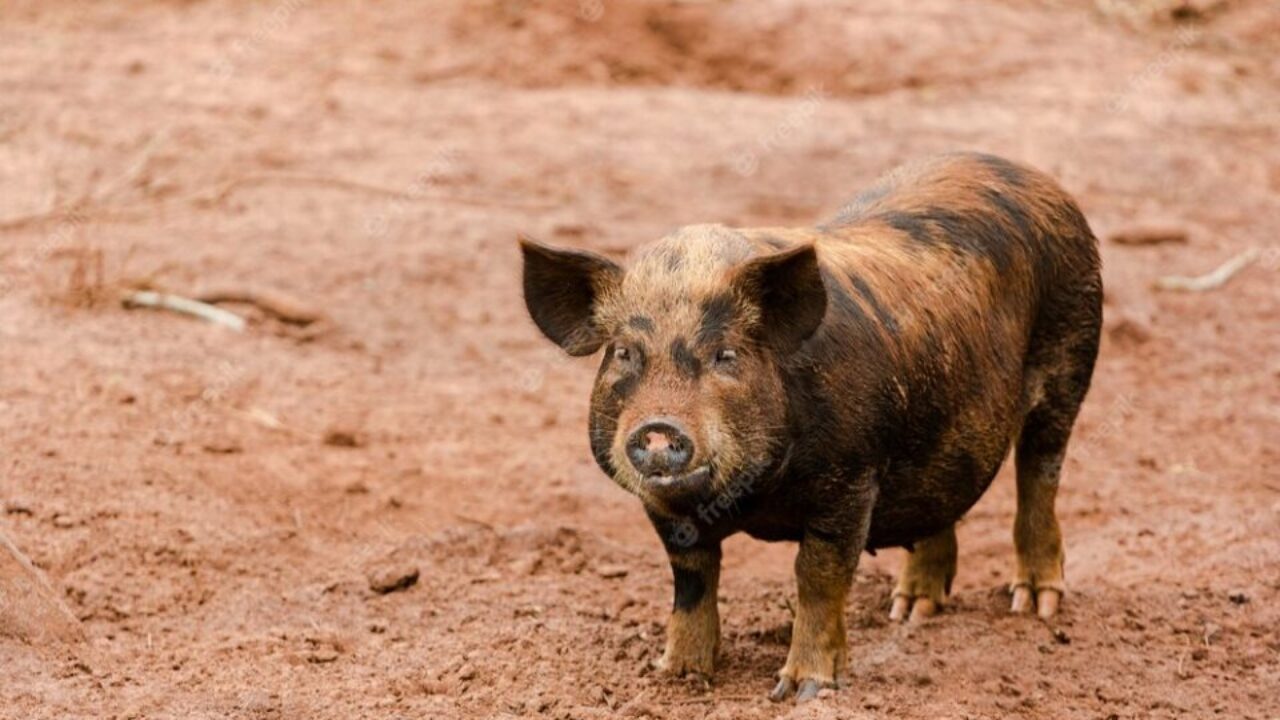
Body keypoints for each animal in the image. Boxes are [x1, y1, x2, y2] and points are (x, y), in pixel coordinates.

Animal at [519, 152, 1100, 702]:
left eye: (725, 355)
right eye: (623, 353)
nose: (659, 428)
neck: (753, 500)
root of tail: (1035, 178)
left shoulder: (851, 477)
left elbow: (817, 577)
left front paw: (803, 690)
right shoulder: (665, 509)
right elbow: (692, 580)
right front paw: (676, 676)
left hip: (1071, 355)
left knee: (1040, 472)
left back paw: (1035, 605)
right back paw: (909, 611)